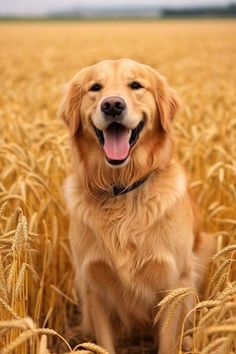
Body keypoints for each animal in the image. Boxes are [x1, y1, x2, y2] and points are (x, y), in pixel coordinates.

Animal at [59, 59, 216, 352]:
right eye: (95, 87)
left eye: (136, 85)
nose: (112, 105)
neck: (122, 189)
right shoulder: (93, 284)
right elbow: (105, 343)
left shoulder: (173, 282)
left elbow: (168, 342)